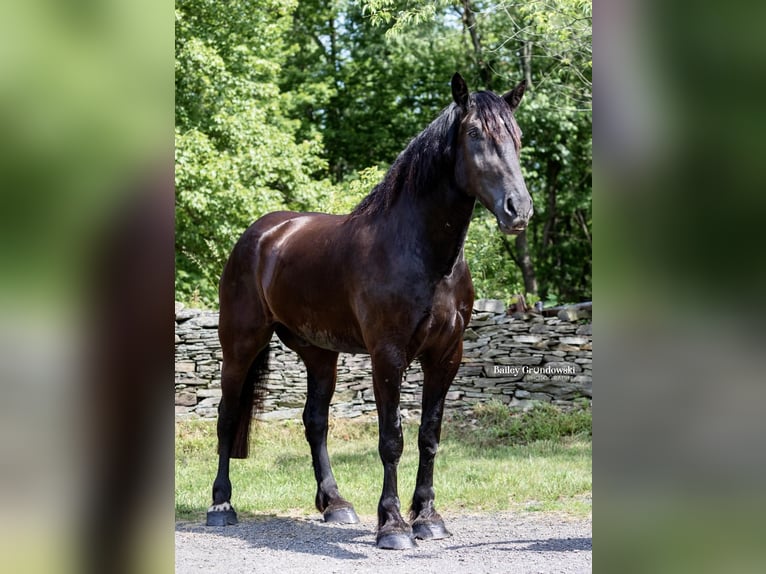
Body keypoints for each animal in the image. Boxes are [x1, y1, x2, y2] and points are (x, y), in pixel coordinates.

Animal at [210, 74, 536, 552]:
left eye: (517, 136)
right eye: (475, 133)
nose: (519, 209)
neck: (421, 253)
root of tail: (262, 233)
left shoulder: (446, 356)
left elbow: (429, 436)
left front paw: (428, 519)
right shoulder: (388, 355)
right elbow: (391, 440)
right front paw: (393, 526)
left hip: (319, 354)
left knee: (315, 422)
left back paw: (335, 504)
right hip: (240, 345)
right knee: (227, 416)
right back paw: (221, 506)